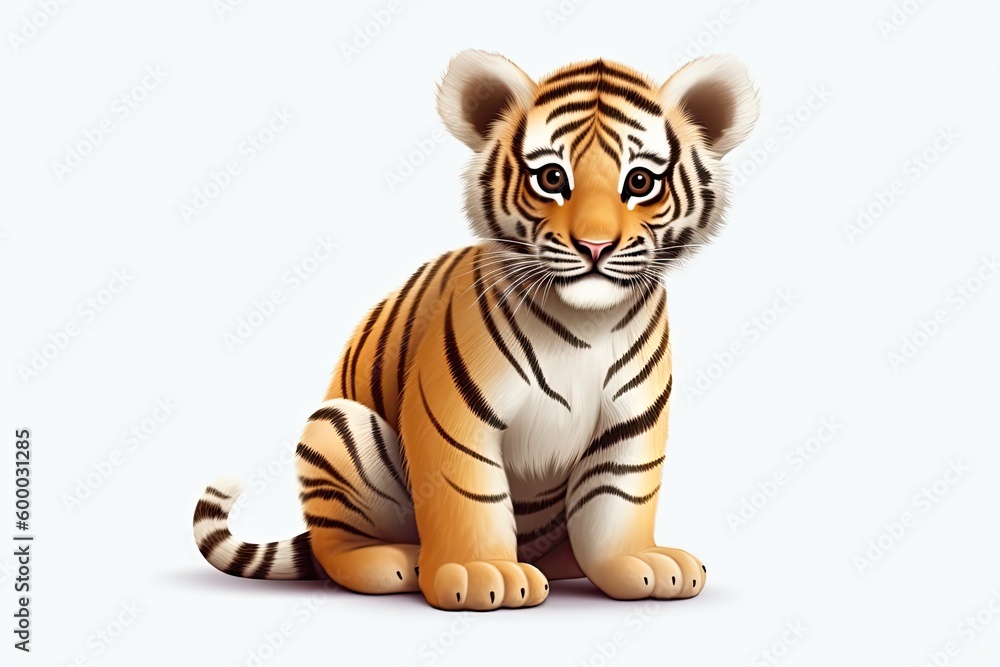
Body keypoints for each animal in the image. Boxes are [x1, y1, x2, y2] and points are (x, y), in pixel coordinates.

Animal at [193, 50, 759, 611]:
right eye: (551, 178)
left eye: (639, 182)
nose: (595, 247)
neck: (586, 322)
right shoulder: (452, 414)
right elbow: (468, 493)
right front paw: (482, 572)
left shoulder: (631, 424)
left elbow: (619, 498)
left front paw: (640, 563)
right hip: (337, 426)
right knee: (335, 549)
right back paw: (396, 561)